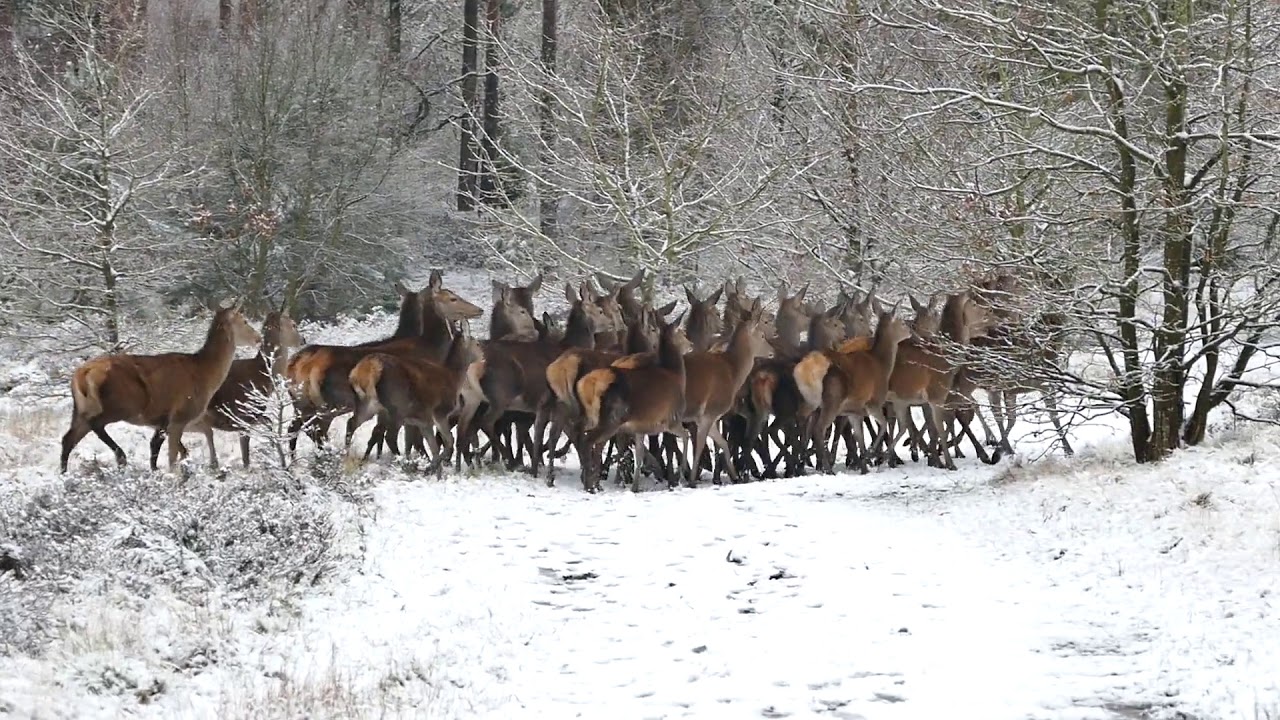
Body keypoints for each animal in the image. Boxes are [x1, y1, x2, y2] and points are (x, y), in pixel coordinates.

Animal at [60, 298, 261, 473]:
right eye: (244, 320)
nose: (258, 338)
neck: (206, 375)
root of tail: (81, 375)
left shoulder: (163, 420)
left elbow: (161, 449)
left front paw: (158, 471)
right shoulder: (180, 415)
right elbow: (172, 457)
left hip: (80, 408)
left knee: (68, 438)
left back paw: (64, 474)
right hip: (120, 404)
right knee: (95, 424)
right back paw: (120, 456)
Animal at [147, 308, 306, 470]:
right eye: (293, 324)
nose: (303, 340)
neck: (262, 377)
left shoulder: (253, 416)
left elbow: (268, 423)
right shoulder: (242, 416)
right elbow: (245, 456)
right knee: (157, 442)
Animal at [348, 326, 484, 477]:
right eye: (477, 343)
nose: (483, 356)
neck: (453, 378)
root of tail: (364, 370)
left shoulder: (423, 421)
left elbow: (433, 447)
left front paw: (436, 472)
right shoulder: (439, 412)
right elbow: (449, 442)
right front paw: (430, 469)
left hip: (367, 404)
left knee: (352, 423)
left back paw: (346, 454)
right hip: (397, 407)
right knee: (390, 437)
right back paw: (405, 465)